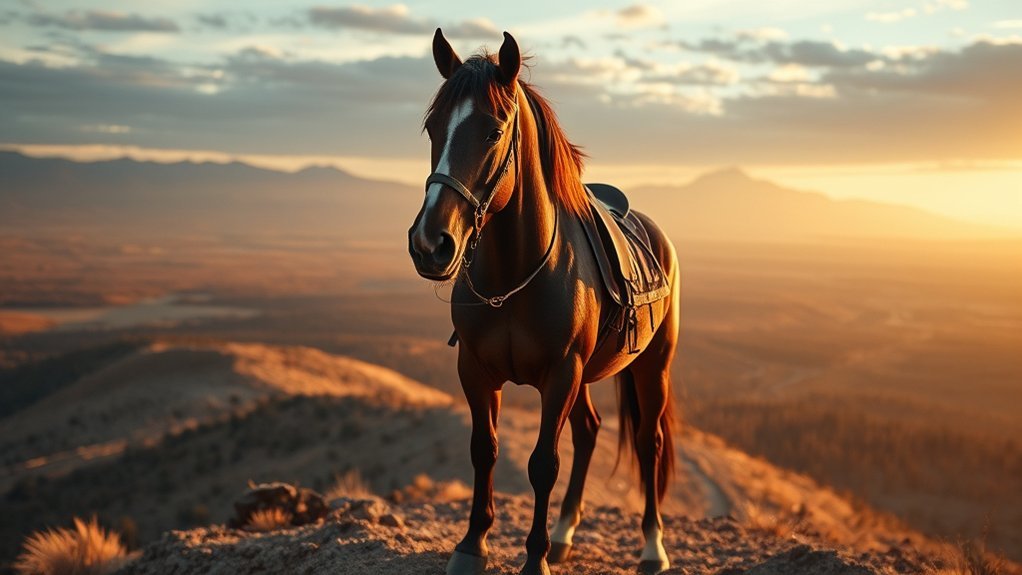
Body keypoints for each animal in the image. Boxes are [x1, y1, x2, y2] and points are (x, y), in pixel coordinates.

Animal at [407, 29, 681, 575]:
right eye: (432, 128)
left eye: (493, 133)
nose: (430, 243)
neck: (514, 277)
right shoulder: (475, 371)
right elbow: (484, 449)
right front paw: (472, 545)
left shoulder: (560, 375)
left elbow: (542, 464)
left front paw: (533, 560)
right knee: (589, 431)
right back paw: (563, 534)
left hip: (651, 367)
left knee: (649, 442)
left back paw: (651, 546)